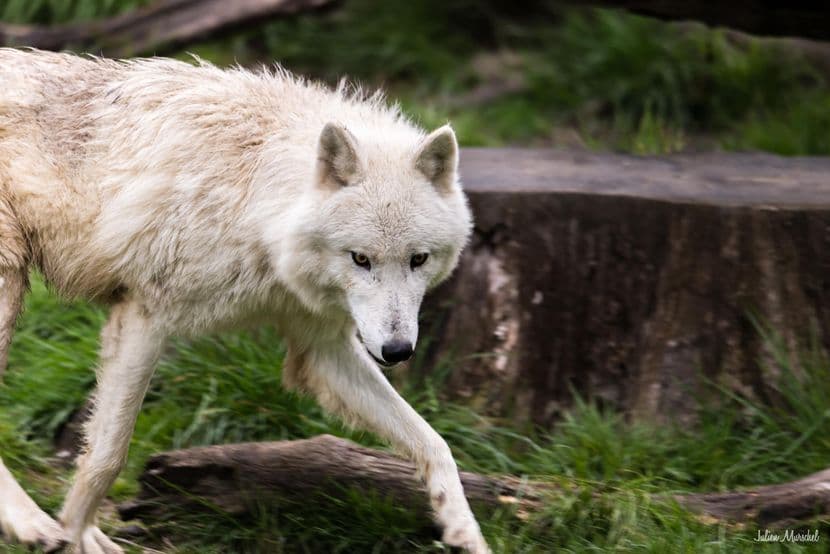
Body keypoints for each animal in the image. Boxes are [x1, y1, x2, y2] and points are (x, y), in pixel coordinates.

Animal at [0, 48, 489, 553]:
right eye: (360, 258)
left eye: (418, 259)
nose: (397, 351)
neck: (256, 202)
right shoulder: (144, 318)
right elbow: (108, 454)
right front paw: (73, 532)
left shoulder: (322, 346)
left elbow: (434, 442)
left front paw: (465, 531)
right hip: (9, 289)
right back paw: (31, 523)